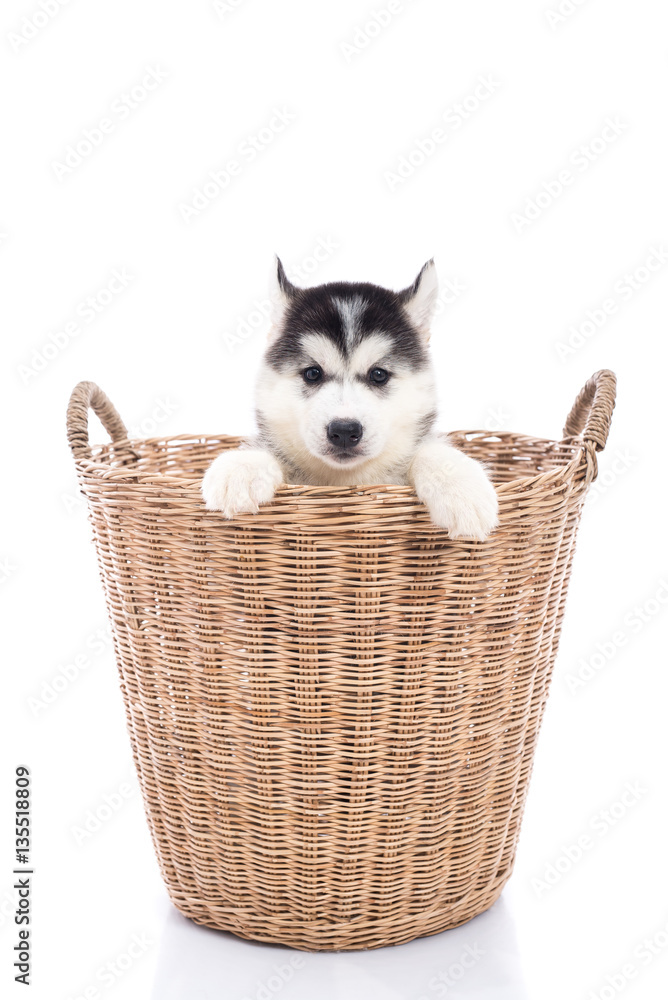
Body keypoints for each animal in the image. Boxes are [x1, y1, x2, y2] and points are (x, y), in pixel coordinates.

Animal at [201, 258, 498, 540]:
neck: (345, 480)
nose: (344, 430)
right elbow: (269, 451)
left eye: (378, 374)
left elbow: (430, 451)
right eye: (312, 373)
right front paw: (241, 468)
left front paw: (462, 488)